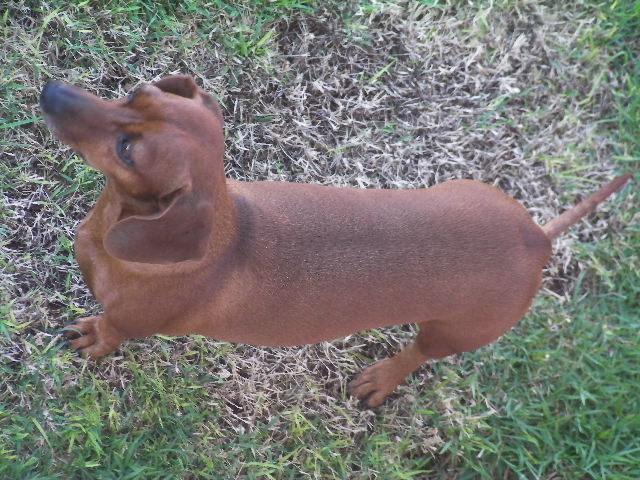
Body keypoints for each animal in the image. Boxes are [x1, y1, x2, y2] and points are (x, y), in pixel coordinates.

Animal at [40, 74, 632, 404]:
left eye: (127, 151)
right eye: (135, 94)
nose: (50, 90)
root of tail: (535, 237)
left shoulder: (132, 321)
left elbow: (112, 330)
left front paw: (93, 339)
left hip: (455, 333)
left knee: (419, 353)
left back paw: (382, 379)